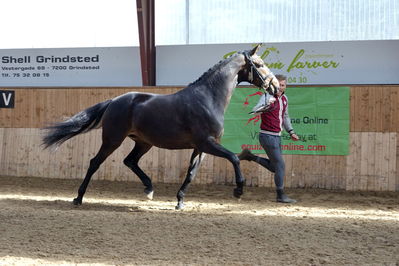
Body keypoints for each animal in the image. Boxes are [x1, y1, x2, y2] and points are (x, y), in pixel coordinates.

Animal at [42, 44, 280, 210]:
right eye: (259, 65)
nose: (276, 87)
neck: (208, 99)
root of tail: (114, 101)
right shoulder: (207, 143)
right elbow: (233, 158)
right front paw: (239, 190)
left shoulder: (200, 148)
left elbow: (191, 173)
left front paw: (180, 201)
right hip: (113, 139)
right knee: (95, 163)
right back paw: (78, 198)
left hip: (143, 143)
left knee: (129, 161)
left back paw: (149, 189)